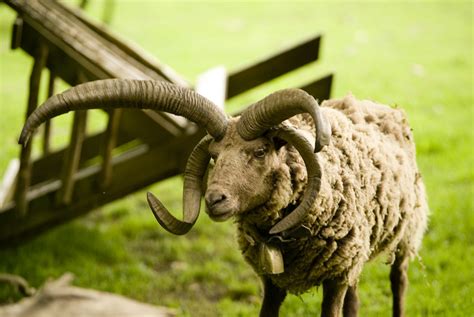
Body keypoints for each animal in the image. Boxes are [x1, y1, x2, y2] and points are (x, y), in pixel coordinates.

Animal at [18, 78, 428, 316]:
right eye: (214, 157)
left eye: (260, 151)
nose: (214, 199)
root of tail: (378, 105)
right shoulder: (274, 282)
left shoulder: (336, 277)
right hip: (359, 258)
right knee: (357, 299)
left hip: (405, 238)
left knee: (399, 283)